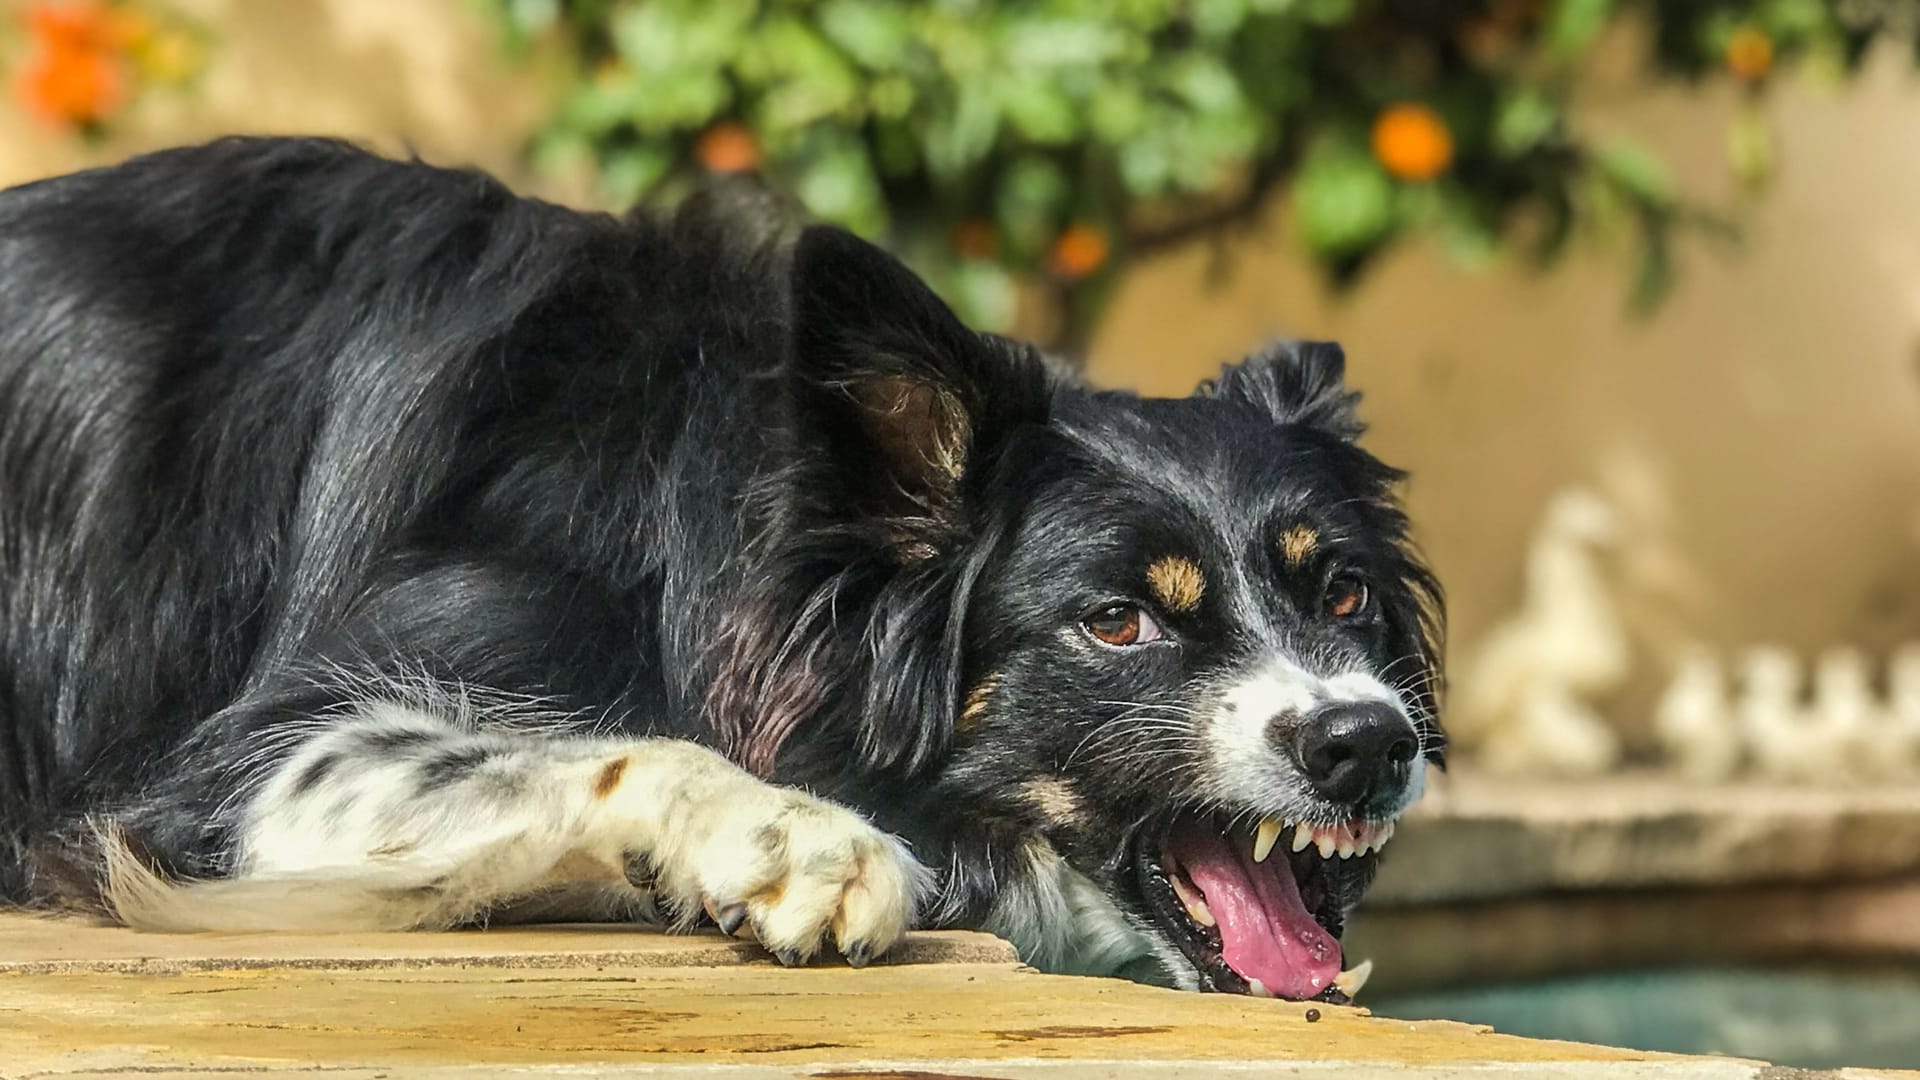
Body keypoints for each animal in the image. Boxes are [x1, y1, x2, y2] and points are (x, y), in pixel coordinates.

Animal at [0, 136, 1443, 999]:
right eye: (1118, 622)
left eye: (1345, 594)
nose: (1370, 744)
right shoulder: (230, 771)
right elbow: (589, 749)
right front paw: (797, 837)